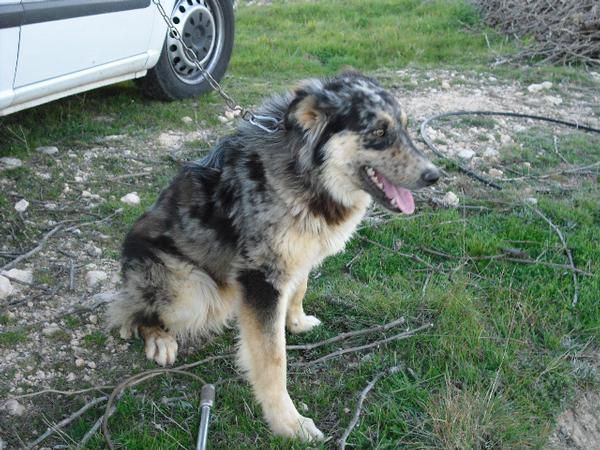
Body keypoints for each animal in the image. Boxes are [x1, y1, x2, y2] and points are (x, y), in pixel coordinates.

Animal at [106, 72, 440, 442]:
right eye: (379, 131)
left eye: (405, 127)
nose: (434, 176)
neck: (307, 172)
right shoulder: (261, 278)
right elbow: (272, 361)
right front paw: (289, 423)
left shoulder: (297, 257)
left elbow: (299, 289)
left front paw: (296, 321)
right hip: (193, 293)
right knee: (133, 314)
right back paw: (159, 339)